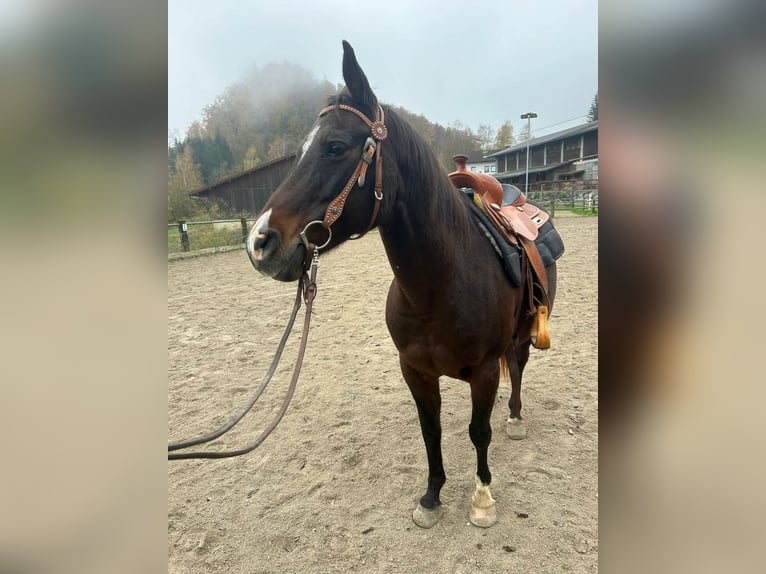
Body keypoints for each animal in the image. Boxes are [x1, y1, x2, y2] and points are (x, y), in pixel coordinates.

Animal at [246, 41, 560, 532]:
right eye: (299, 151)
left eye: (335, 147)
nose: (259, 242)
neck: (439, 286)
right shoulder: (414, 369)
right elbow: (430, 429)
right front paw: (431, 497)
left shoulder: (485, 370)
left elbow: (479, 431)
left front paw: (482, 499)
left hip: (523, 334)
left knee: (519, 367)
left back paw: (515, 417)